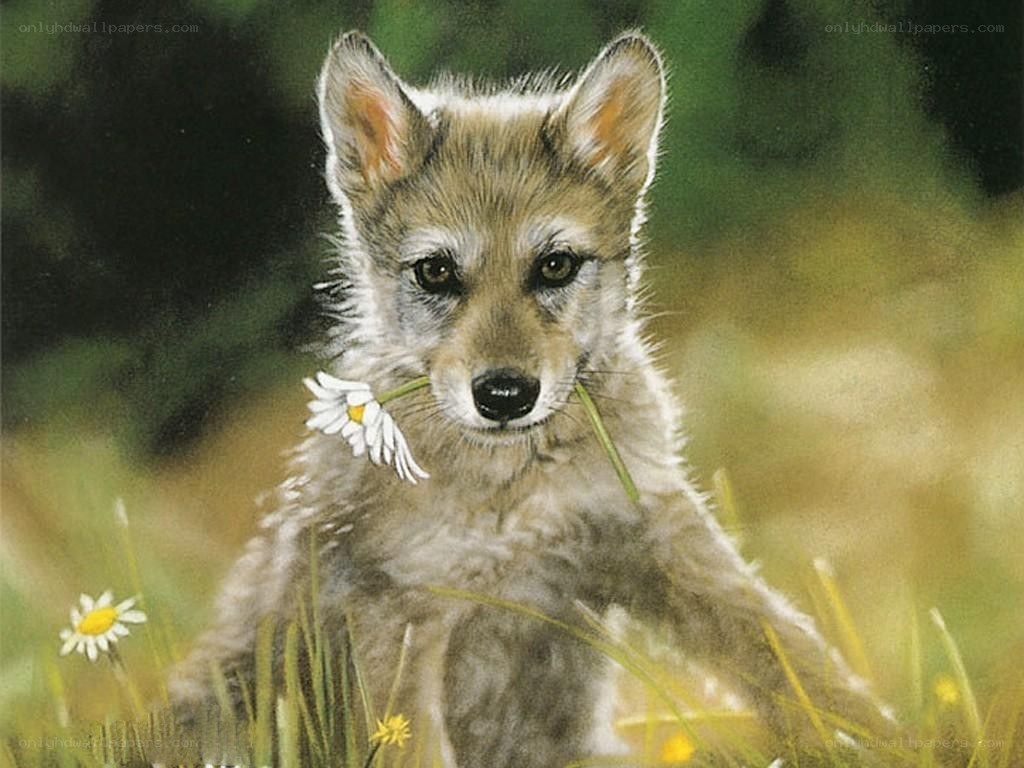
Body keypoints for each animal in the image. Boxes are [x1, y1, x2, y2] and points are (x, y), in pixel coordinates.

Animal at [169, 30, 894, 766]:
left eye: (555, 265)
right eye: (435, 272)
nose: (504, 395)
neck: (518, 491)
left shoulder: (656, 533)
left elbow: (794, 660)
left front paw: (891, 740)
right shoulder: (402, 614)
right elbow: (413, 745)